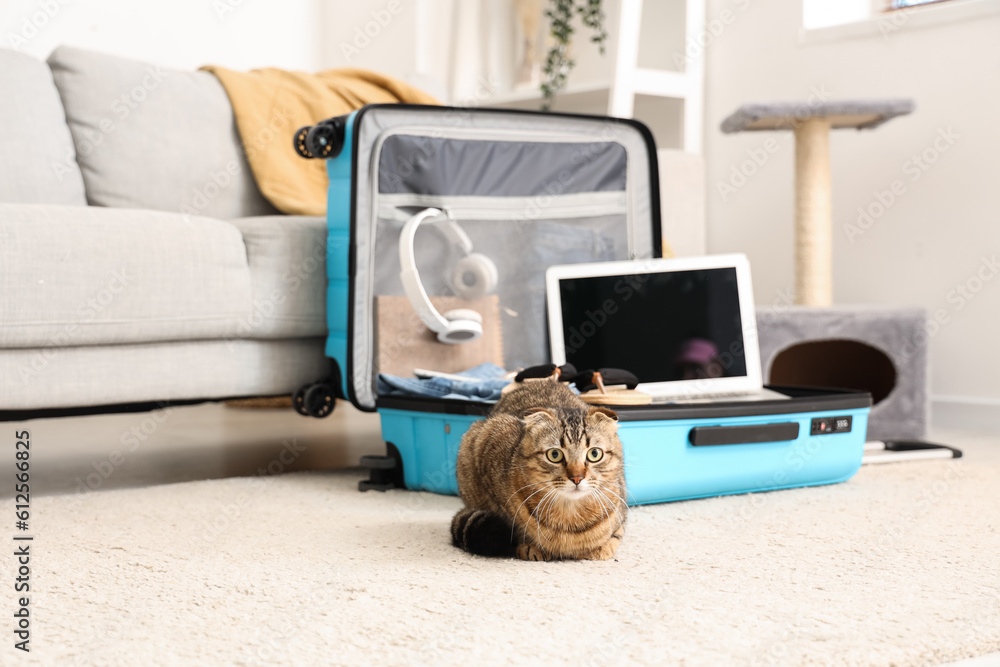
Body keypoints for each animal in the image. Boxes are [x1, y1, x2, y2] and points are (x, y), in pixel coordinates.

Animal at [452, 378, 624, 560]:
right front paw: (530, 545)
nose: (577, 478)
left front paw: (601, 548)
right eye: (554, 454)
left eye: (594, 453)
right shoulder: (488, 440)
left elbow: (614, 536)